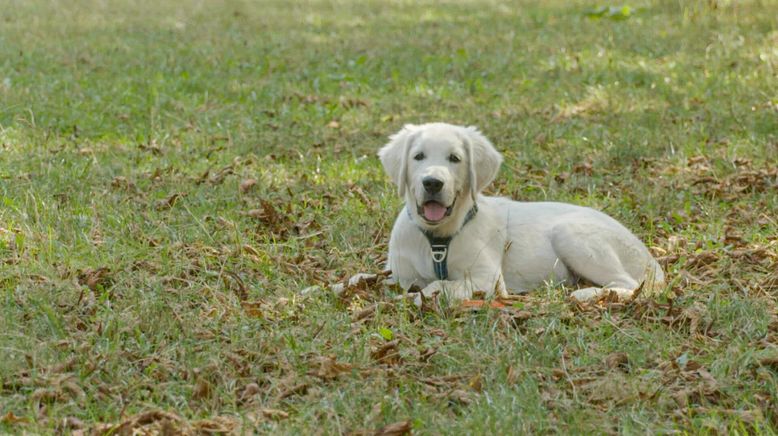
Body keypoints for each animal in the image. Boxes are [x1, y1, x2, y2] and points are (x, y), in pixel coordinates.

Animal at [376, 121, 660, 302]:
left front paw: (417, 297)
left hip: (572, 234)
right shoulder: (400, 273)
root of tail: (650, 258)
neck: (437, 240)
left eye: (455, 158)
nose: (432, 183)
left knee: (629, 285)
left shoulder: (486, 278)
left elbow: (437, 285)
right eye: (418, 156)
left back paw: (586, 295)